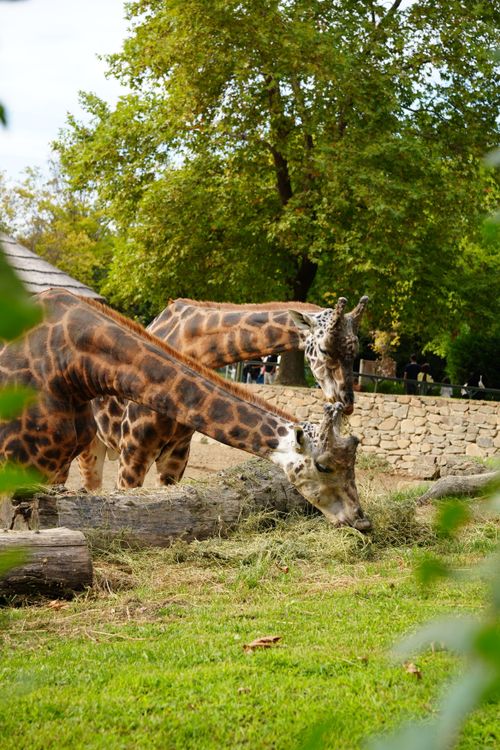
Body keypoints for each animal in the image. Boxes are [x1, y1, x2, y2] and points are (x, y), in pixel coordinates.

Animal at [80, 296, 368, 489]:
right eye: (325, 349)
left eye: (355, 352)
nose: (346, 402)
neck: (190, 347)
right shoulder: (134, 451)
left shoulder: (177, 456)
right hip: (91, 445)